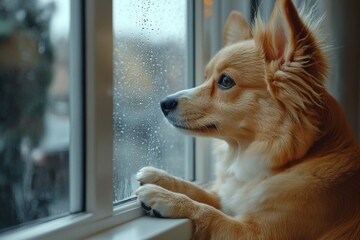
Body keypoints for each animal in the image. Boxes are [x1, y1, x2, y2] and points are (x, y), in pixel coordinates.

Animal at [135, 0, 360, 239]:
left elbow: (207, 212)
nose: (164, 103)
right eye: (205, 78)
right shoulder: (224, 197)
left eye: (225, 81)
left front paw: (165, 197)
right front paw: (160, 177)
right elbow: (201, 191)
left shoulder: (254, 233)